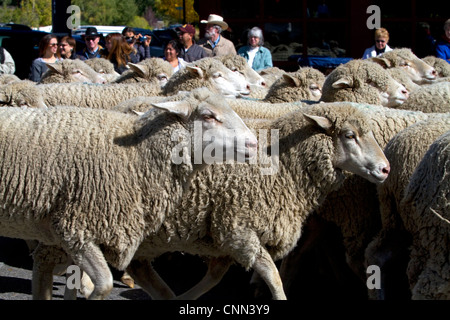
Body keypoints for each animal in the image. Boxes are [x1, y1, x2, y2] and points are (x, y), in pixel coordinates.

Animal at [0, 86, 256, 298]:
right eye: (208, 116)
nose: (253, 144)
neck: (138, 155)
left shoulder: (69, 230)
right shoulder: (76, 228)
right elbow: (104, 284)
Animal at [125, 102, 392, 300]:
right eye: (350, 135)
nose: (386, 169)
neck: (283, 162)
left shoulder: (226, 233)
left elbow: (216, 274)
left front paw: (183, 298)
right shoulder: (239, 228)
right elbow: (273, 276)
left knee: (141, 269)